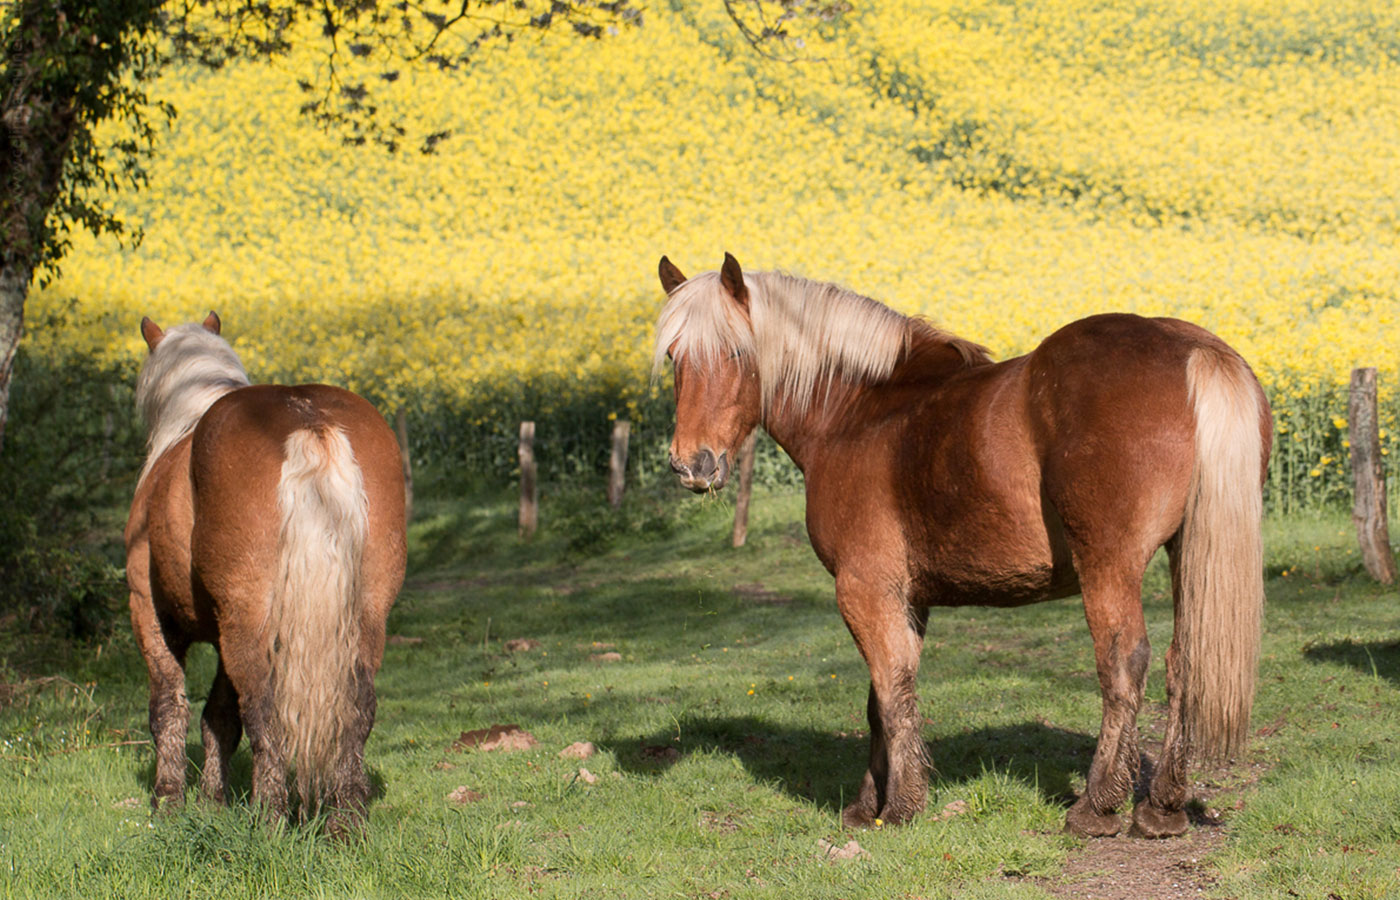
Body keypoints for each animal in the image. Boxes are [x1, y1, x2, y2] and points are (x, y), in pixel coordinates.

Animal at [123, 313, 408, 834]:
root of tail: (308, 420)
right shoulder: (219, 630)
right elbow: (217, 717)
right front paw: (211, 801)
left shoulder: (150, 612)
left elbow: (169, 709)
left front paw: (169, 803)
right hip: (365, 615)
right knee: (356, 708)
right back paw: (346, 822)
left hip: (248, 618)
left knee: (263, 710)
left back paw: (268, 819)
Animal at [652, 253, 1271, 839]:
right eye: (675, 357)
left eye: (737, 352)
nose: (692, 465)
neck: (860, 412)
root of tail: (1193, 349)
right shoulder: (906, 597)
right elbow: (881, 699)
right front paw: (867, 805)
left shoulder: (864, 589)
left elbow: (891, 689)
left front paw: (899, 807)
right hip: (1186, 557)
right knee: (1183, 664)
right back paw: (1162, 807)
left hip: (1109, 565)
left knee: (1123, 664)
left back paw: (1096, 806)